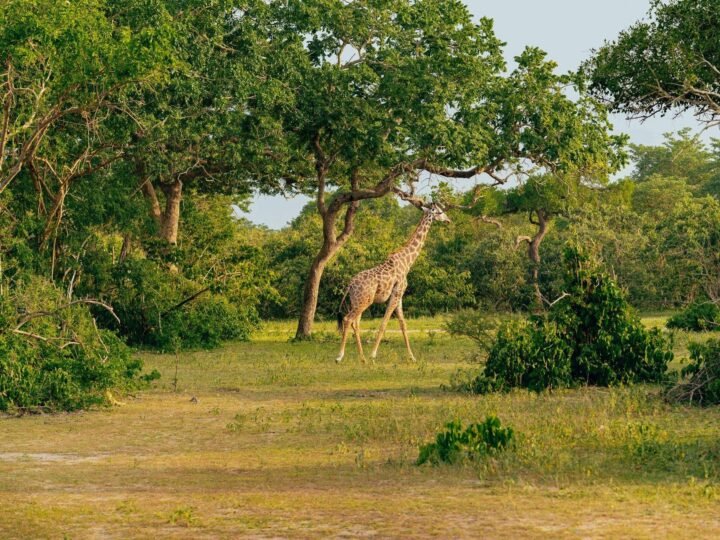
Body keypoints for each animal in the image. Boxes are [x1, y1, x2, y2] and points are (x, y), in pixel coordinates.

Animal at [335, 203, 451, 363]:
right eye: (439, 211)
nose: (448, 220)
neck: (407, 262)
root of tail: (350, 285)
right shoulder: (396, 293)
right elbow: (384, 323)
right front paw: (373, 354)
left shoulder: (399, 295)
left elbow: (403, 324)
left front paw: (412, 357)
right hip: (364, 301)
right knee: (348, 319)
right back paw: (340, 356)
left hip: (356, 301)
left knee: (355, 323)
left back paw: (362, 358)